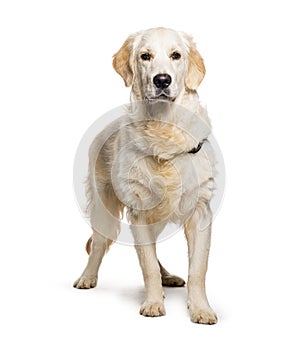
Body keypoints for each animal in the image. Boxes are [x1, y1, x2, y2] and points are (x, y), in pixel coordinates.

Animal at [74, 27, 217, 326]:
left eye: (176, 55)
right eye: (145, 56)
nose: (162, 80)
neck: (164, 130)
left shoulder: (200, 212)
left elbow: (198, 269)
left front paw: (201, 309)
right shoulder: (139, 212)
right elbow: (147, 264)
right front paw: (153, 303)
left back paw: (168, 277)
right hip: (104, 209)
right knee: (99, 245)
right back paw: (87, 277)